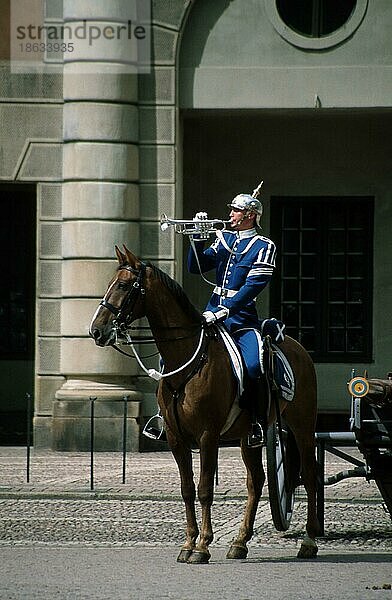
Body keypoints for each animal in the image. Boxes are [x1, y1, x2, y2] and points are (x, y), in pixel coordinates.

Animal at [90, 245, 320, 564]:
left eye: (124, 285)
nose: (97, 331)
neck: (189, 359)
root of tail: (297, 347)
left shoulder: (208, 436)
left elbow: (205, 489)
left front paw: (202, 546)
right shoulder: (176, 438)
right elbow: (187, 489)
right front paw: (188, 543)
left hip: (302, 425)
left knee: (309, 476)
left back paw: (309, 540)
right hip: (249, 436)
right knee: (256, 480)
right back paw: (240, 542)